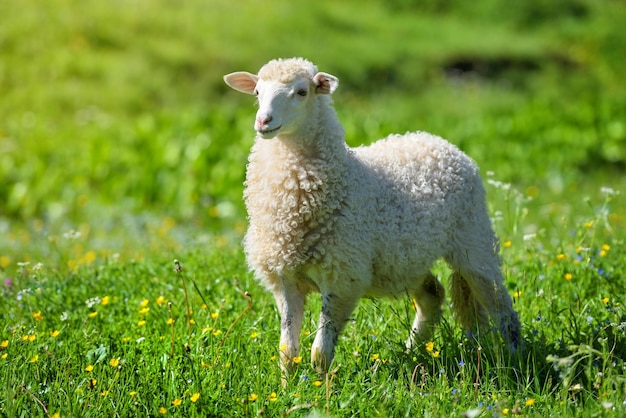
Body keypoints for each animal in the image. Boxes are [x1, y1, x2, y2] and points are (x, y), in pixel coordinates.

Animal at [222, 58, 520, 376]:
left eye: (302, 92)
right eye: (256, 92)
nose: (263, 122)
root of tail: (436, 140)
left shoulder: (343, 276)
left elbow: (319, 352)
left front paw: (321, 386)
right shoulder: (284, 276)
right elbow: (287, 351)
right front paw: (288, 385)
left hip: (474, 238)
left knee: (501, 307)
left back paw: (517, 358)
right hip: (405, 260)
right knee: (432, 294)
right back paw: (411, 352)